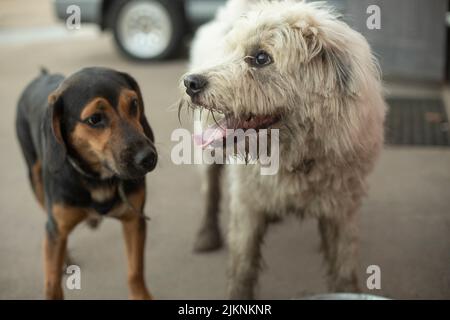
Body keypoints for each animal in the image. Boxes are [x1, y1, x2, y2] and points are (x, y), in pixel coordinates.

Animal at [15, 67, 157, 300]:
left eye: (134, 103)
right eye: (95, 119)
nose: (148, 158)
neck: (98, 179)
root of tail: (42, 75)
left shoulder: (134, 220)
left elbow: (135, 272)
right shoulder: (56, 228)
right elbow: (52, 285)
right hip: (35, 180)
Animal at [181, 0, 384, 300]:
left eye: (261, 58)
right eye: (231, 51)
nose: (190, 83)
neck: (294, 153)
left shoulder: (342, 211)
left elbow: (344, 269)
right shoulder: (246, 206)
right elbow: (242, 266)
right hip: (208, 154)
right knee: (210, 190)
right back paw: (206, 235)